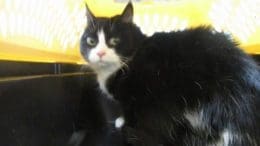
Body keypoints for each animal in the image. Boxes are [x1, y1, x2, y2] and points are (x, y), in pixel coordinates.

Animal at [80, 2, 258, 146]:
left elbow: (129, 109)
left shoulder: (136, 92)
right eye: (91, 41)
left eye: (115, 41)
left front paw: (122, 121)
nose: (100, 53)